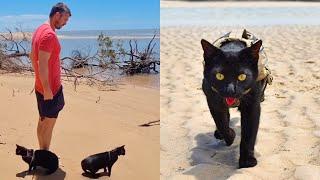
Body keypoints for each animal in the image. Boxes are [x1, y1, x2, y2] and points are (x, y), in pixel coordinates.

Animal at [200, 38, 264, 169]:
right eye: (219, 76)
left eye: (242, 76)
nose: (230, 90)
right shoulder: (214, 102)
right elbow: (221, 123)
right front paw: (231, 136)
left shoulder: (252, 106)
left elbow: (249, 134)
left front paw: (247, 161)